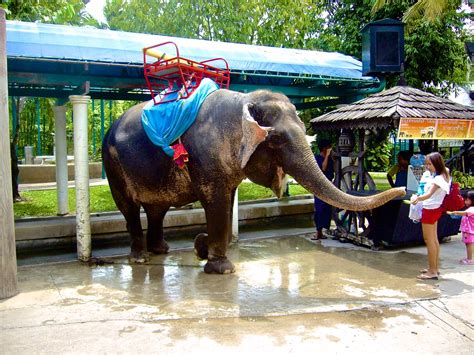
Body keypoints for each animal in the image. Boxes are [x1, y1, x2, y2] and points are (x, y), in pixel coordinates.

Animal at [102, 89, 406, 276]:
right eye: (277, 139)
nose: (404, 190)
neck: (243, 100)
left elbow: (227, 205)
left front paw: (203, 248)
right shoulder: (206, 157)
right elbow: (216, 202)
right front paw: (222, 269)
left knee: (157, 209)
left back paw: (160, 250)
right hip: (113, 165)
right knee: (129, 208)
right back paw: (140, 258)